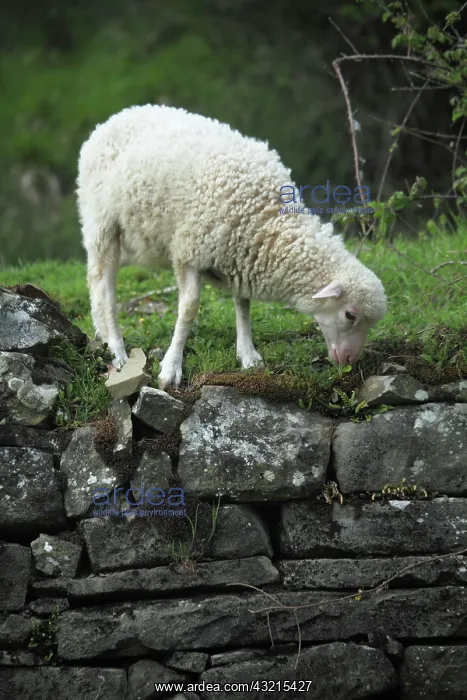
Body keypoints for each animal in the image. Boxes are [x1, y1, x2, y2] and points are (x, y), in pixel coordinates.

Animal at [77, 104, 387, 388]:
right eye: (350, 314)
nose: (350, 360)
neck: (266, 218)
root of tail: (114, 118)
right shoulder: (189, 250)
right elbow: (188, 309)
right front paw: (171, 367)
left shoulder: (239, 256)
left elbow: (243, 304)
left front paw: (247, 353)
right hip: (103, 223)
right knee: (104, 287)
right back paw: (117, 349)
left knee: (95, 284)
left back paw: (103, 334)